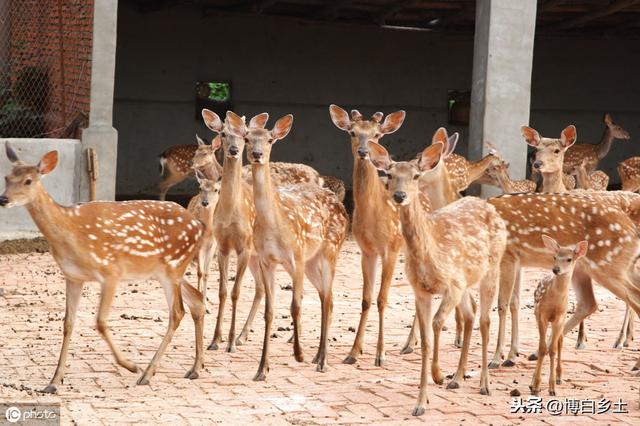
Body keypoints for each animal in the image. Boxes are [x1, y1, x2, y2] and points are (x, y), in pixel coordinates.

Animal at [0, 144, 205, 392]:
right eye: (7, 177)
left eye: (28, 181)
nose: (3, 198)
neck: (71, 234)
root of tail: (199, 225)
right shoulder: (73, 276)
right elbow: (68, 324)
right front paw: (54, 381)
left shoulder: (111, 271)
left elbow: (100, 321)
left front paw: (130, 365)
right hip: (166, 270)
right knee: (197, 299)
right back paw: (195, 368)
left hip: (173, 266)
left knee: (177, 312)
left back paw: (147, 373)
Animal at [226, 111, 348, 378]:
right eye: (247, 138)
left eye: (270, 139)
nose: (257, 154)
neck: (276, 227)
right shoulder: (266, 261)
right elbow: (270, 311)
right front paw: (262, 368)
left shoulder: (297, 256)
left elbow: (295, 305)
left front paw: (298, 354)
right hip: (313, 262)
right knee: (327, 297)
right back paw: (317, 356)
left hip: (330, 251)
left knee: (328, 298)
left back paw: (322, 360)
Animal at [330, 104, 404, 366]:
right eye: (352, 132)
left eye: (377, 135)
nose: (364, 152)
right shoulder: (366, 250)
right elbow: (366, 299)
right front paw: (353, 353)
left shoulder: (391, 248)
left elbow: (382, 299)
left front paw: (380, 355)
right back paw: (410, 345)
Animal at [528, 233, 592, 396]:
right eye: (555, 257)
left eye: (569, 259)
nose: (556, 269)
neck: (554, 301)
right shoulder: (541, 315)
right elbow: (542, 348)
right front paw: (535, 385)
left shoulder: (559, 318)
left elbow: (552, 349)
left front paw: (552, 388)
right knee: (551, 342)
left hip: (562, 319)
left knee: (560, 340)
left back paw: (559, 377)